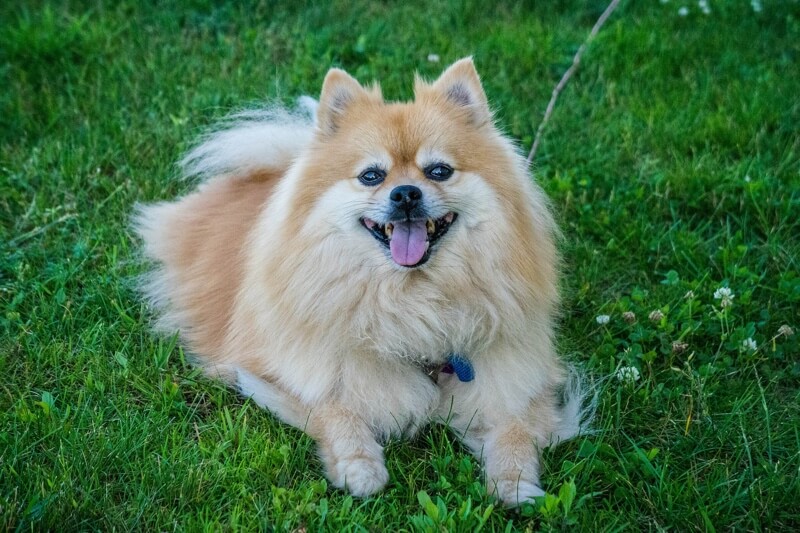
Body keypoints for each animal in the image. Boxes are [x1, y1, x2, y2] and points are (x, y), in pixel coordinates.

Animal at [136, 59, 588, 508]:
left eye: (439, 171)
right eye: (371, 176)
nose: (405, 194)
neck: (414, 302)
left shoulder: (518, 380)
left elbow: (515, 431)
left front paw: (515, 482)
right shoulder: (279, 370)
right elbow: (335, 411)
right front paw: (360, 467)